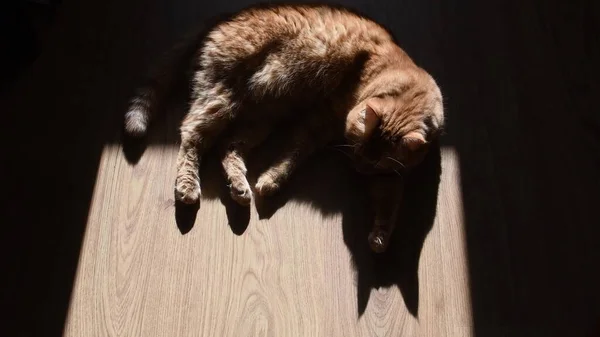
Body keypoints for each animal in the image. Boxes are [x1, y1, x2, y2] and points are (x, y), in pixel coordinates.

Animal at [124, 1, 442, 249]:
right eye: (357, 146)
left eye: (375, 162)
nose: (358, 167)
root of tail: (227, 14)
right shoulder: (321, 120)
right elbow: (292, 155)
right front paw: (273, 180)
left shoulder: (391, 175)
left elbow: (391, 202)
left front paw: (380, 237)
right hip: (222, 98)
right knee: (192, 135)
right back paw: (188, 186)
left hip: (261, 117)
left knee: (228, 146)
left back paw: (239, 187)